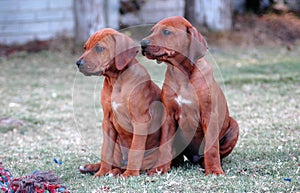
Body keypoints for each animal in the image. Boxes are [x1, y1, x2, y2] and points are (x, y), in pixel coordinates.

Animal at [76, 27, 163, 177]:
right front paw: (101, 172)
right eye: (85, 48)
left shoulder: (140, 120)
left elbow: (135, 151)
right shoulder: (107, 121)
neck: (116, 80)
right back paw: (94, 168)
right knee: (115, 162)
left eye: (99, 48)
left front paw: (130, 174)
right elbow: (105, 151)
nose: (78, 63)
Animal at [141, 16, 239, 176]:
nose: (142, 44)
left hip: (234, 126)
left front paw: (214, 170)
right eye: (152, 31)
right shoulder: (168, 117)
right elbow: (164, 146)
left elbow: (212, 148)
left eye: (166, 32)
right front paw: (159, 169)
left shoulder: (209, 115)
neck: (183, 74)